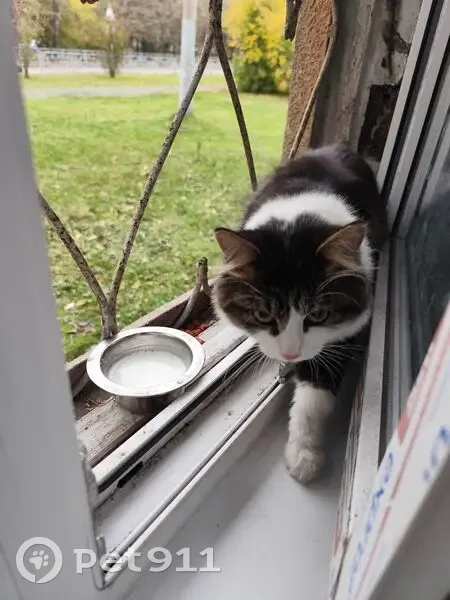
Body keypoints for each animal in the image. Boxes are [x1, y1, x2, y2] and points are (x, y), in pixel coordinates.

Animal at [212, 143, 387, 483]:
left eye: (318, 315)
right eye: (263, 315)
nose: (291, 354)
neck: (298, 221)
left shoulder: (345, 331)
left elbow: (314, 399)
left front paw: (305, 454)